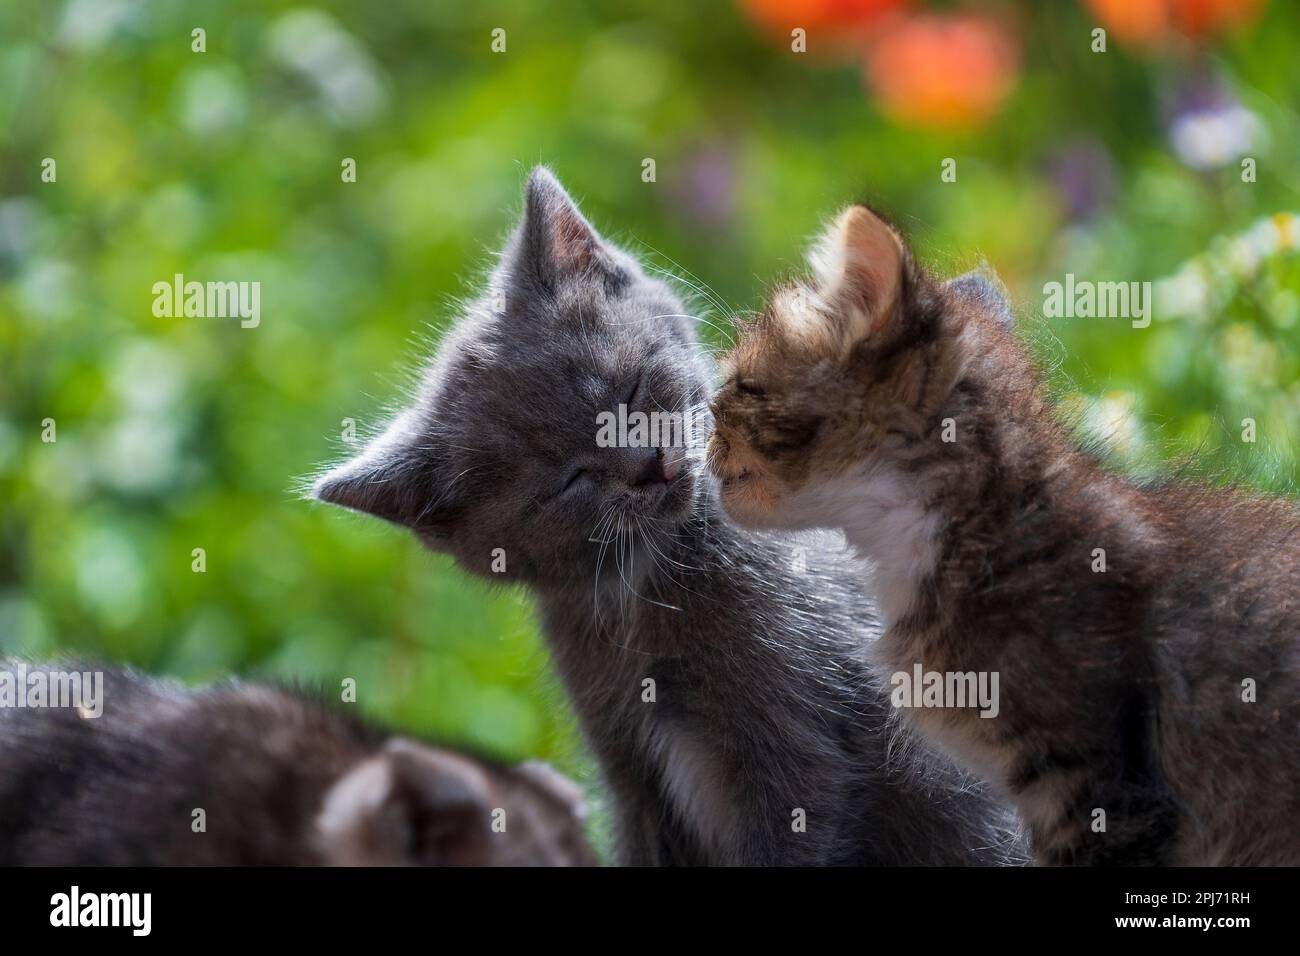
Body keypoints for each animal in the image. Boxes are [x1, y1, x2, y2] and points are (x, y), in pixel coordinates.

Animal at [314, 170, 1024, 868]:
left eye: (628, 392)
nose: (648, 466)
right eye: (569, 479)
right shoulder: (632, 775)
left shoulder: (799, 758)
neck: (650, 592)